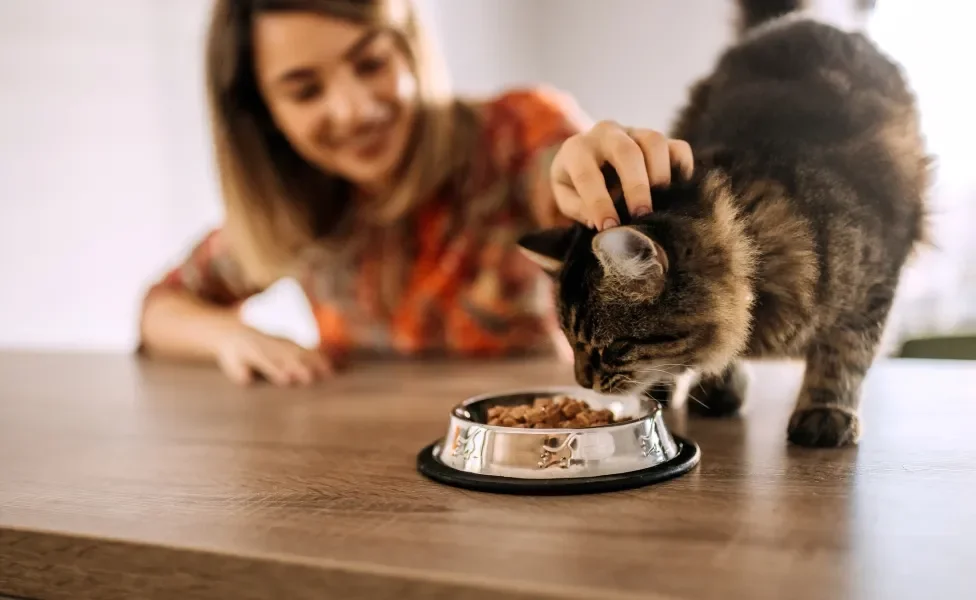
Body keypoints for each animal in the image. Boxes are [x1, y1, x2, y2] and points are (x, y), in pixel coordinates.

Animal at [516, 0, 928, 448]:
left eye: (610, 349)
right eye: (569, 343)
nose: (581, 382)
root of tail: (802, 20)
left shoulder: (872, 289)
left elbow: (843, 354)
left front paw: (825, 411)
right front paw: (718, 387)